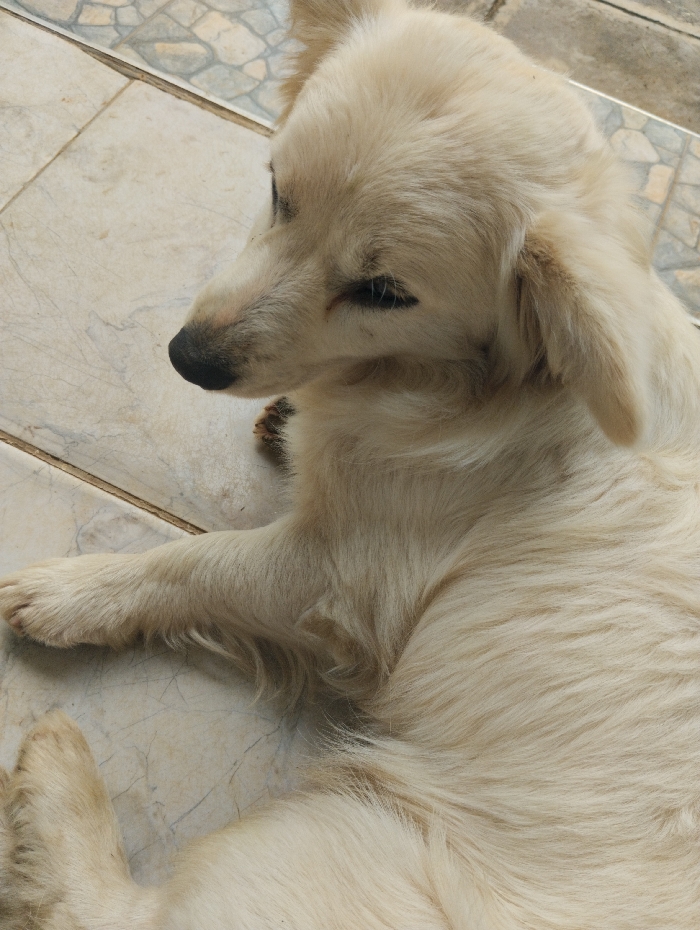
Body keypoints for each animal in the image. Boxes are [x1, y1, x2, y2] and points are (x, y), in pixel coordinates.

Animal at [1, 1, 700, 927]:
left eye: (384, 291)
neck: (481, 383)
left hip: (328, 852)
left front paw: (79, 590)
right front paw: (286, 421)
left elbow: (195, 560)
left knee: (110, 913)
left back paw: (56, 771)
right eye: (278, 193)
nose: (189, 357)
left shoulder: (342, 575)